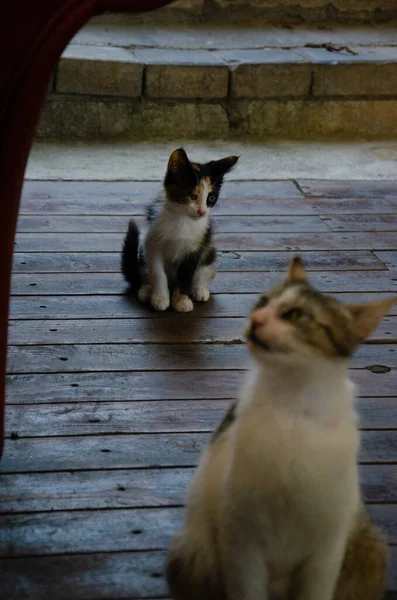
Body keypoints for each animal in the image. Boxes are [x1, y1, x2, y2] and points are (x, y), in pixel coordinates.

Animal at [120, 148, 238, 312]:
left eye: (211, 198)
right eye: (192, 196)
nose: (202, 212)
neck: (182, 219)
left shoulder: (196, 248)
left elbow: (186, 274)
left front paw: (181, 300)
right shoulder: (151, 244)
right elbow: (157, 272)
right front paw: (160, 298)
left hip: (209, 249)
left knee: (205, 267)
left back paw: (199, 289)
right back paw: (147, 289)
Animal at [166, 256, 392, 600]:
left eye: (296, 315)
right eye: (262, 302)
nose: (256, 319)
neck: (292, 405)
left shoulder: (326, 553)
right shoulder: (242, 544)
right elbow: (247, 589)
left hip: (369, 549)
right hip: (193, 553)